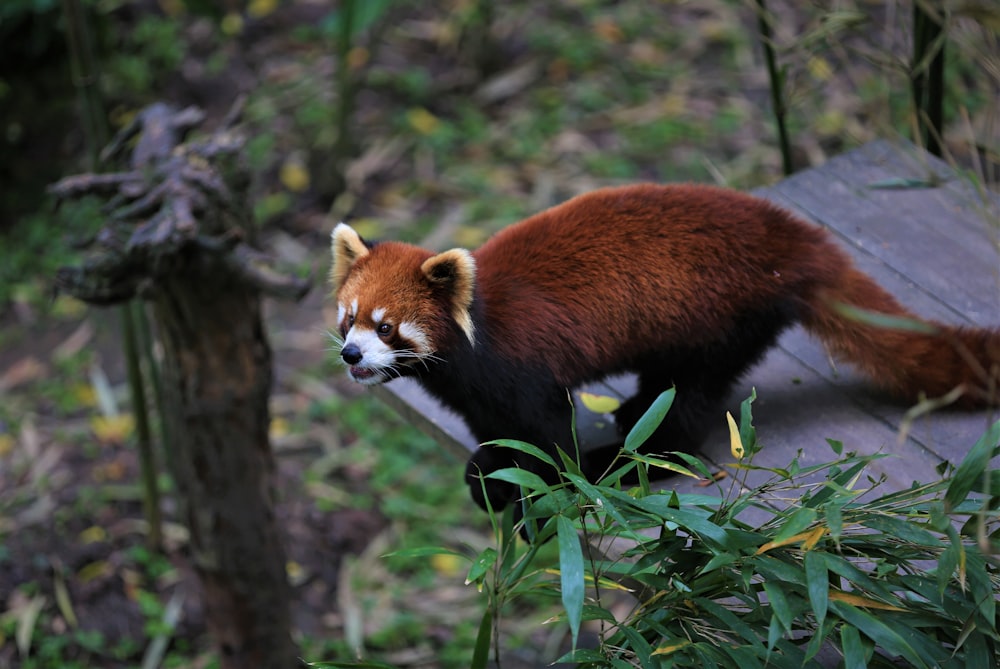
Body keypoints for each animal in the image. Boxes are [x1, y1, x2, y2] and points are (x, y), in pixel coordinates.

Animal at [332, 183, 1000, 512]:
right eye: (349, 319)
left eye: (387, 328)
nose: (351, 356)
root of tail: (790, 237)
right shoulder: (473, 391)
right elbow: (495, 431)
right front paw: (492, 469)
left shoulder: (521, 369)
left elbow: (545, 432)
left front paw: (544, 486)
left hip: (719, 319)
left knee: (686, 401)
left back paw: (630, 457)